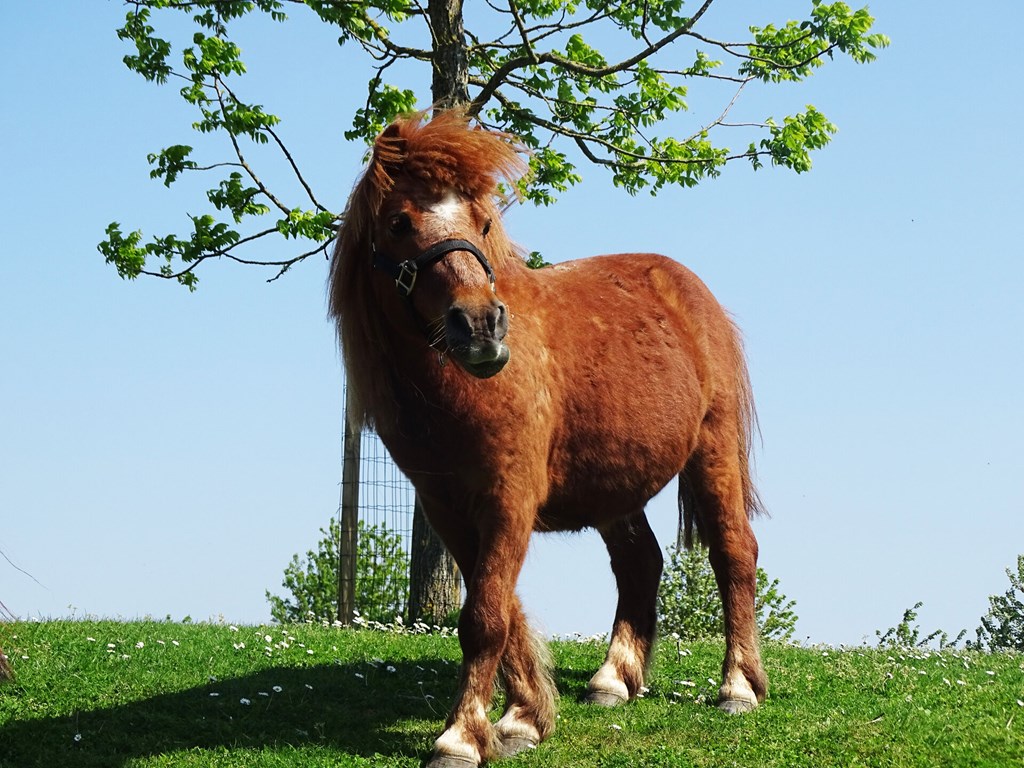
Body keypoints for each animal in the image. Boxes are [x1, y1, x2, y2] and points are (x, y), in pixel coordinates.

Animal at [329, 111, 770, 765]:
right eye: (399, 222)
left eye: (484, 221)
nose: (481, 326)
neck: (457, 392)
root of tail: (691, 293)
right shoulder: (449, 508)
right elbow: (499, 609)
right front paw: (521, 718)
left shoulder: (508, 498)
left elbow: (484, 616)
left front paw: (460, 736)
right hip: (615, 486)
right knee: (640, 562)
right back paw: (613, 679)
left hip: (712, 453)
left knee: (734, 553)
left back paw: (738, 685)